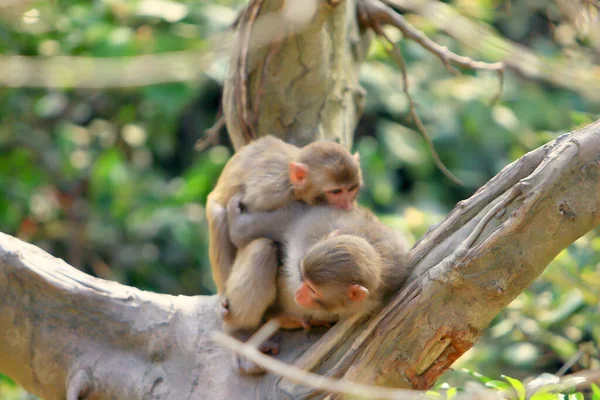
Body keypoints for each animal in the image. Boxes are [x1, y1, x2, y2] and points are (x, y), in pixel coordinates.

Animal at [204, 136, 364, 296]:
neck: (293, 187)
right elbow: (240, 235)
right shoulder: (270, 196)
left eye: (351, 189)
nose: (347, 205)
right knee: (219, 217)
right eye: (336, 192)